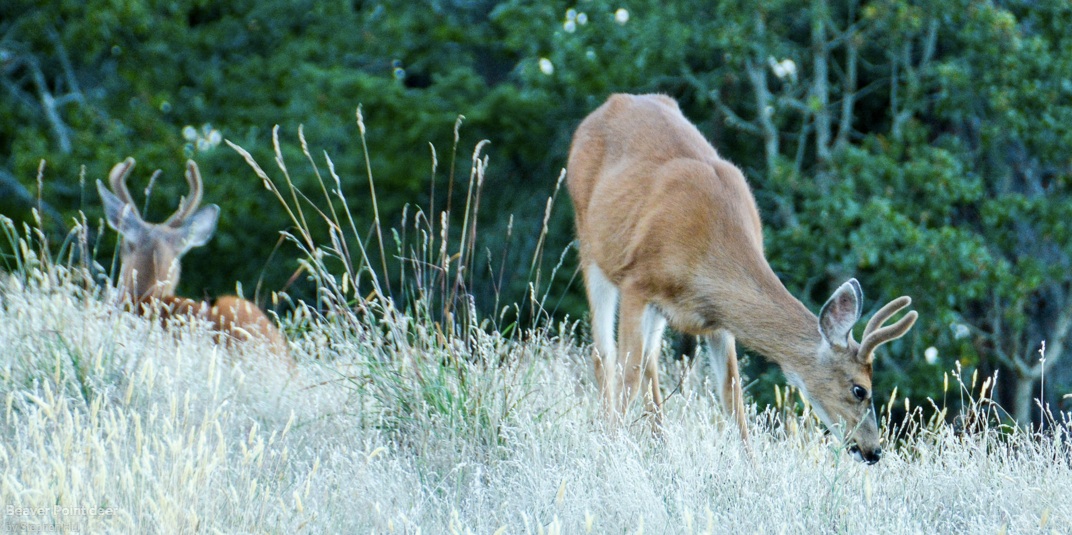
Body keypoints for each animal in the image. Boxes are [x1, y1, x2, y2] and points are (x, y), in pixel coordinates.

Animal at [566, 94, 917, 464]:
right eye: (859, 389)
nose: (873, 450)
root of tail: (606, 105)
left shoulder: (717, 320)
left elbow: (732, 394)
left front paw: (752, 465)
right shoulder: (637, 282)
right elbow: (628, 373)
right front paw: (611, 447)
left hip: (656, 309)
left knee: (650, 363)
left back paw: (662, 445)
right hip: (590, 245)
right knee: (605, 354)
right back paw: (613, 429)